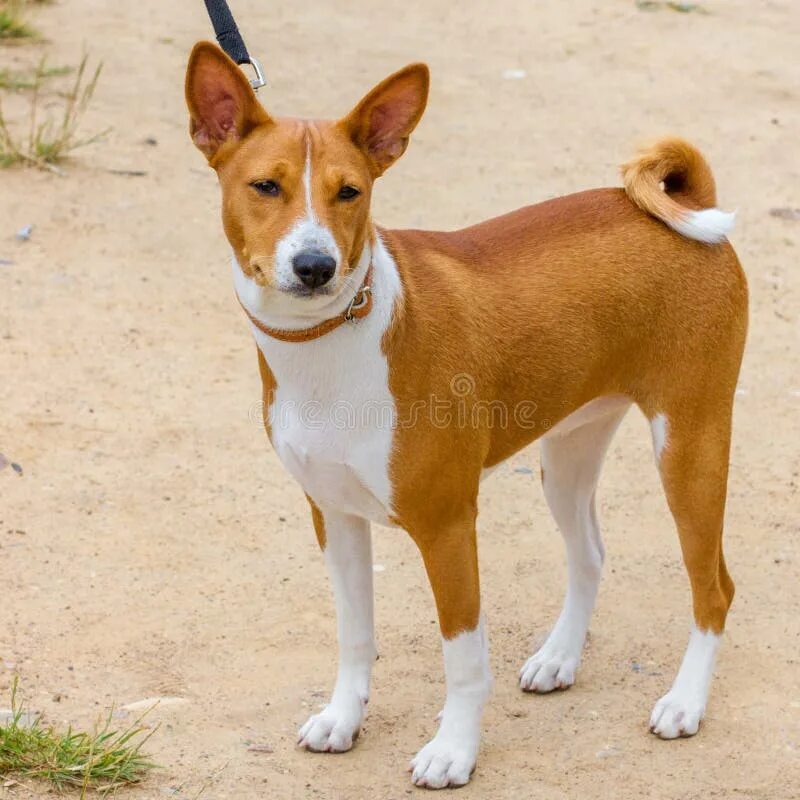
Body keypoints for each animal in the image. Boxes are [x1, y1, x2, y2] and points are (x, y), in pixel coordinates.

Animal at [184, 42, 748, 788]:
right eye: (265, 187)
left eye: (349, 192)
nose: (314, 265)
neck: (330, 346)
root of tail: (690, 203)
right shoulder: (333, 515)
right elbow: (355, 634)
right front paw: (344, 718)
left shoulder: (448, 526)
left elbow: (463, 658)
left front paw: (453, 749)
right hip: (569, 456)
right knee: (591, 554)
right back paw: (559, 658)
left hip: (690, 449)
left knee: (714, 589)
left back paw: (684, 702)